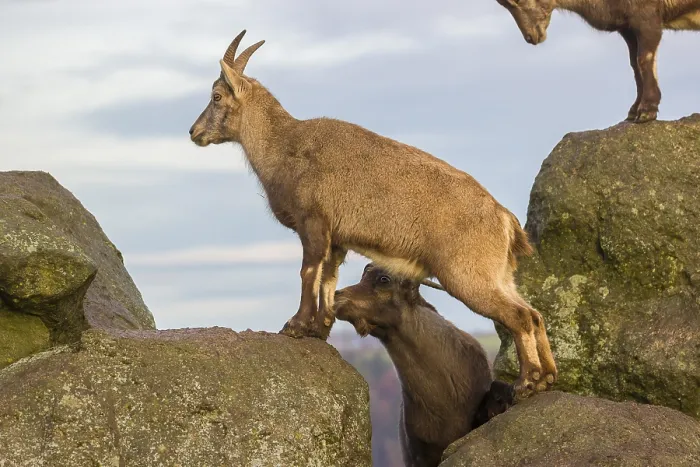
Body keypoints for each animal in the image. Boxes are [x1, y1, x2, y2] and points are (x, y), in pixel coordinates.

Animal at [188, 29, 557, 399]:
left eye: (216, 96)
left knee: (519, 317)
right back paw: (547, 378)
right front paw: (320, 328)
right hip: (499, 276)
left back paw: (527, 382)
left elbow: (309, 272)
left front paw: (295, 325)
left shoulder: (313, 222)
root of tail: (505, 220)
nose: (193, 132)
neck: (283, 146)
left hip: (468, 275)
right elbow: (329, 278)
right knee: (535, 314)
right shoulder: (336, 238)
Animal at [495, 0, 700, 123]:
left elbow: (644, 59)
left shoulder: (646, 18)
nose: (531, 37)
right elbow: (634, 65)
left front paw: (647, 111)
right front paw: (633, 110)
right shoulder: (627, 27)